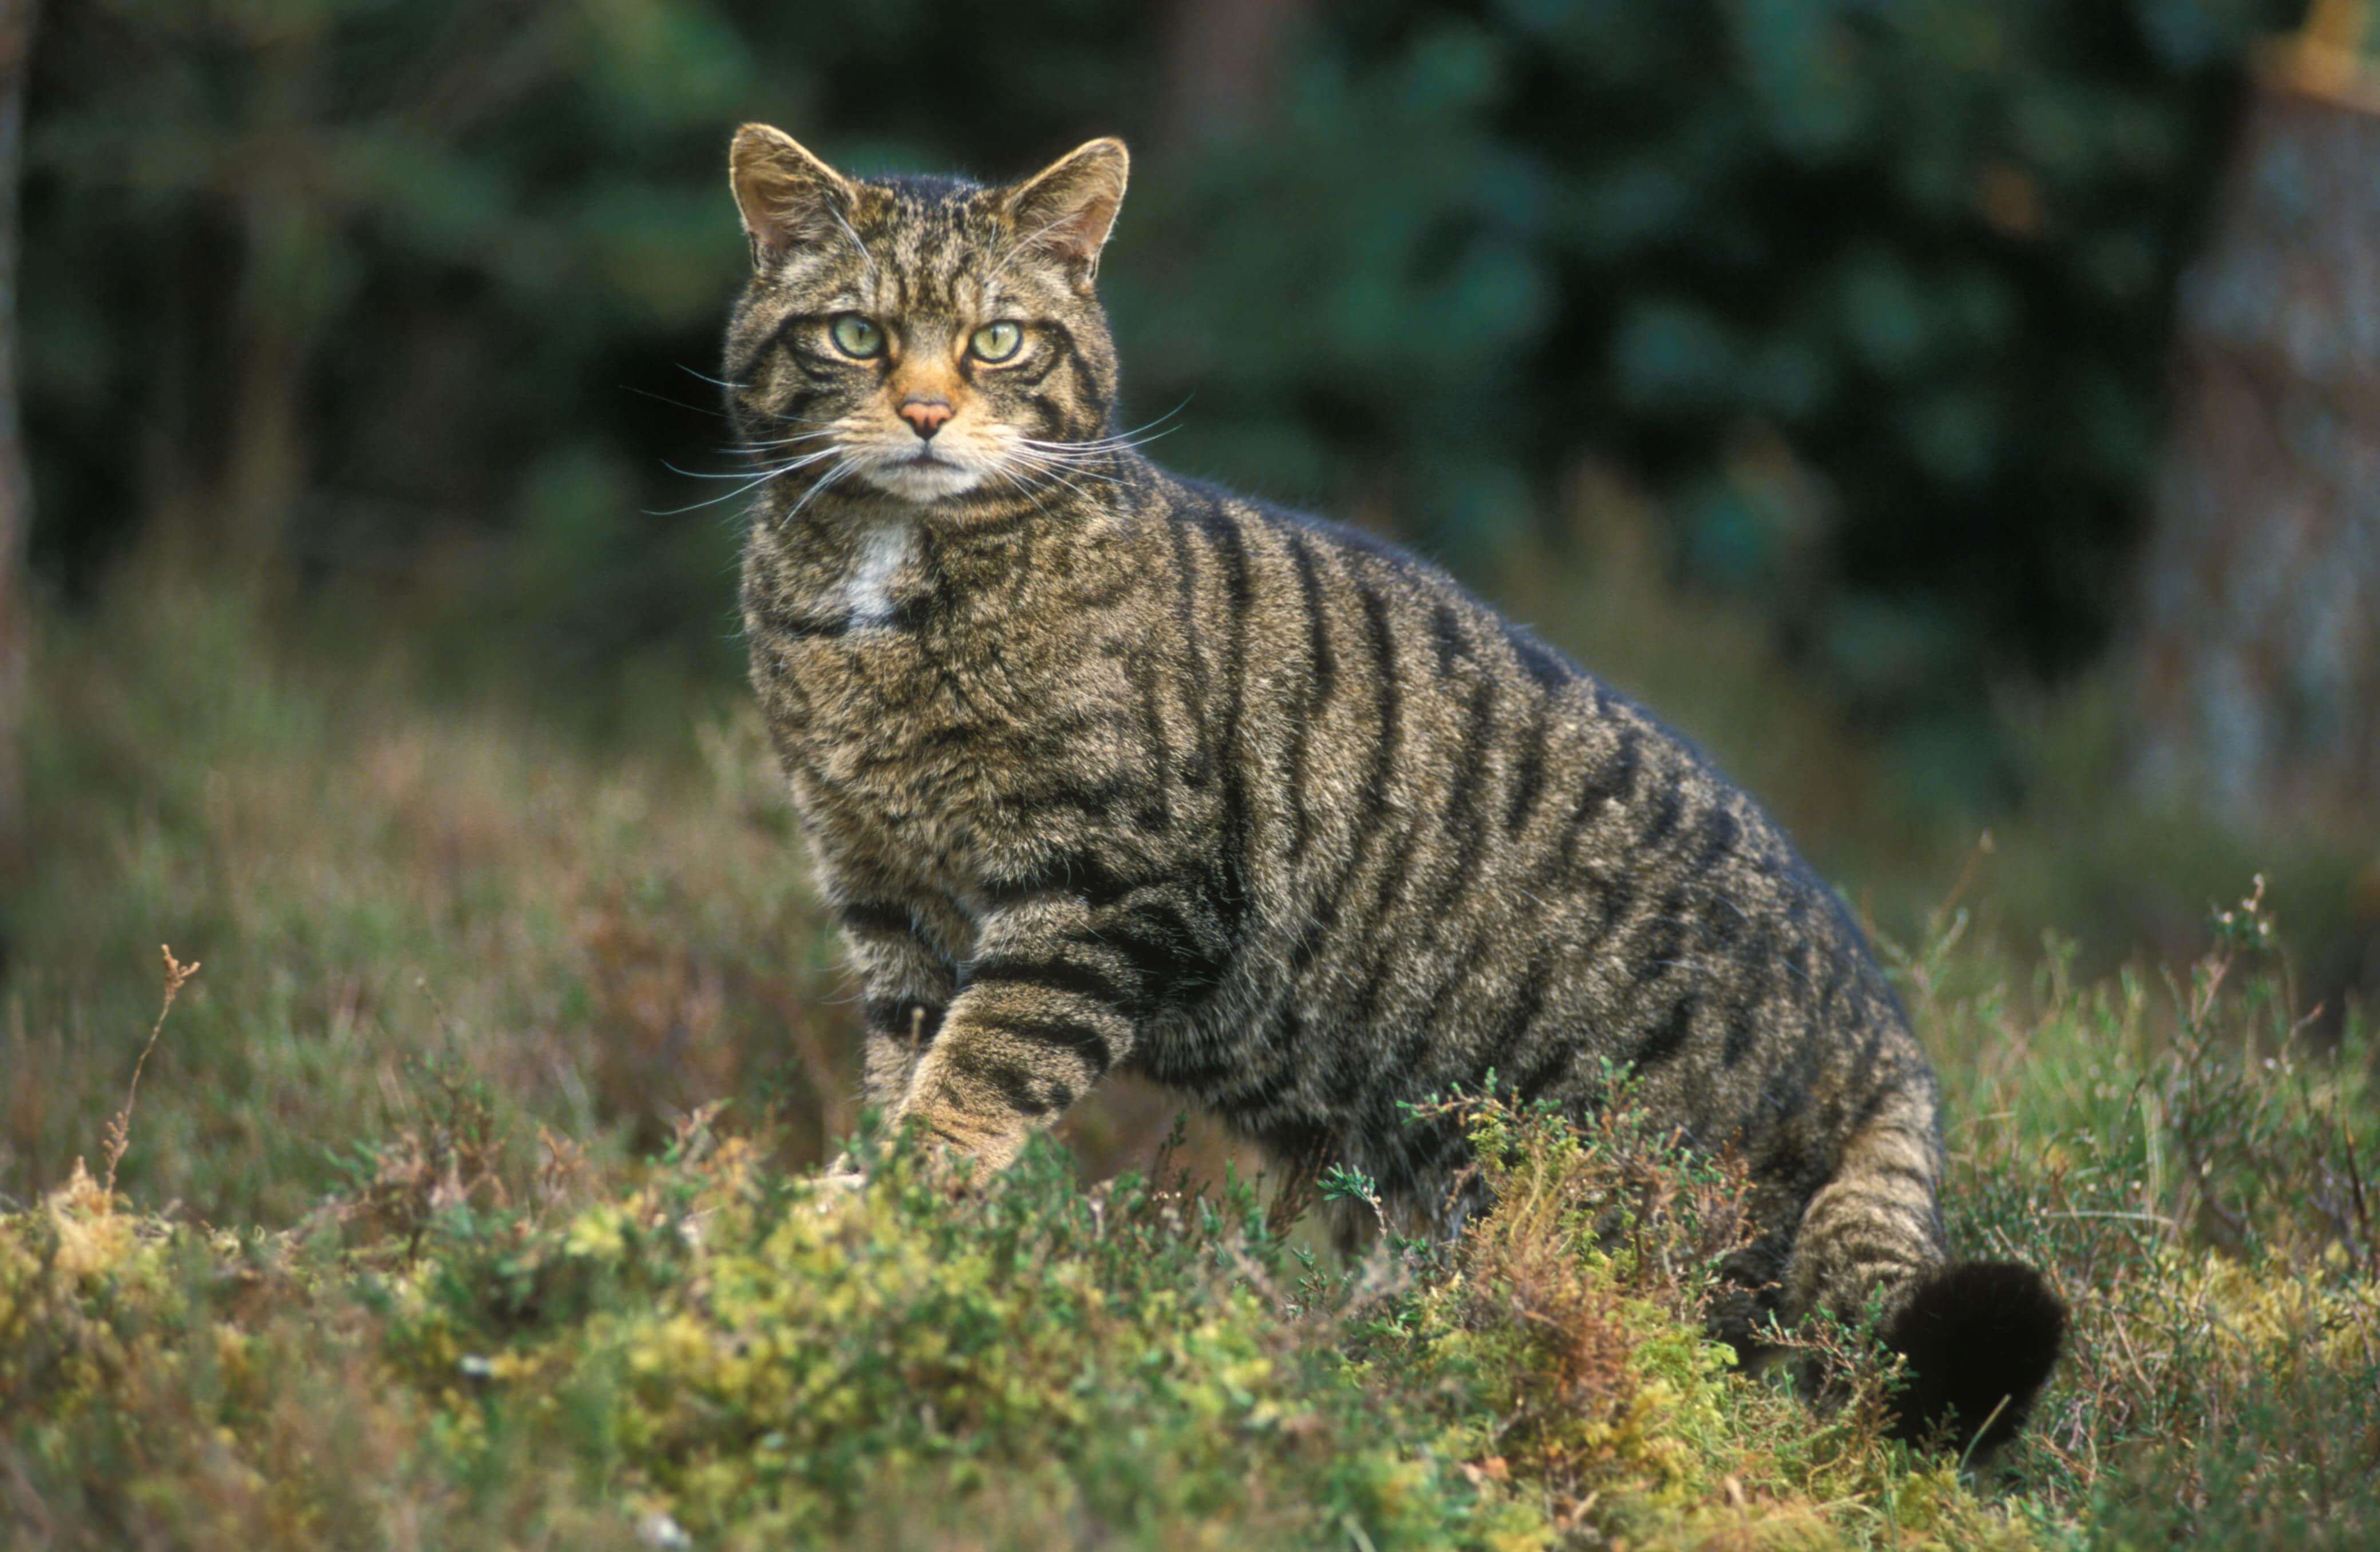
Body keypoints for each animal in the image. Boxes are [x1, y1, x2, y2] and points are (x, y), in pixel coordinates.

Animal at [714, 127, 2056, 1447]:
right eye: (856, 335)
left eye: (998, 339)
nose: (926, 411)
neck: (882, 599)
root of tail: (1891, 1043)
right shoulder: (889, 902)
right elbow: (904, 1074)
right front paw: (868, 1221)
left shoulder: (1104, 894)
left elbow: (973, 1084)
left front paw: (872, 1219)